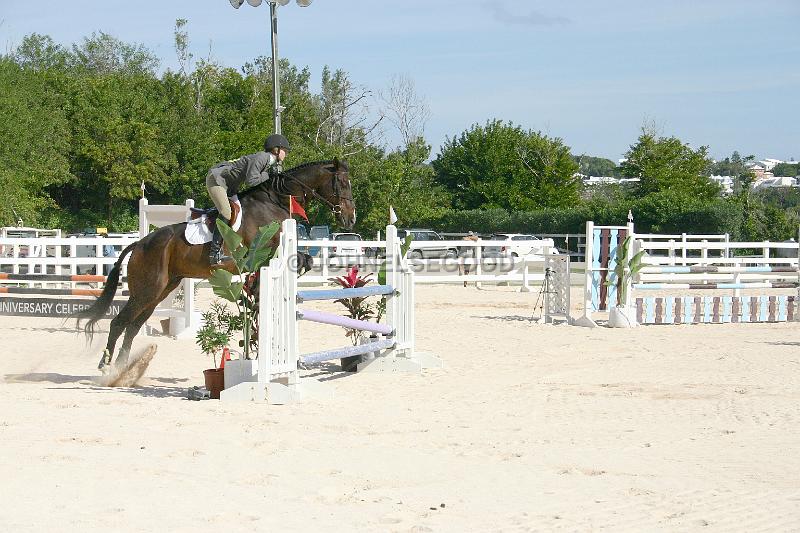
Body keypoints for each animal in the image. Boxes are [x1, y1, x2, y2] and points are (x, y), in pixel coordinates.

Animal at [76, 160, 356, 372]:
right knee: (119, 322)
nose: (350, 219)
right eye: (342, 183)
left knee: (133, 326)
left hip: (160, 291)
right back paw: (106, 366)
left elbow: (305, 259)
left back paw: (122, 369)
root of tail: (139, 243)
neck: (274, 201)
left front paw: (258, 292)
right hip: (147, 290)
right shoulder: (261, 252)